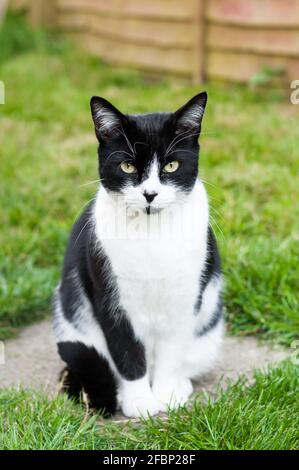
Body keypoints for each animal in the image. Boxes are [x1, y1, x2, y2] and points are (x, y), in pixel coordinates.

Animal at [52, 92, 224, 418]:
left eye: (171, 166)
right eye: (128, 167)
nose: (150, 194)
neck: (151, 234)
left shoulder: (185, 297)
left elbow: (172, 351)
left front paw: (167, 394)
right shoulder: (111, 298)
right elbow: (127, 352)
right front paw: (140, 401)